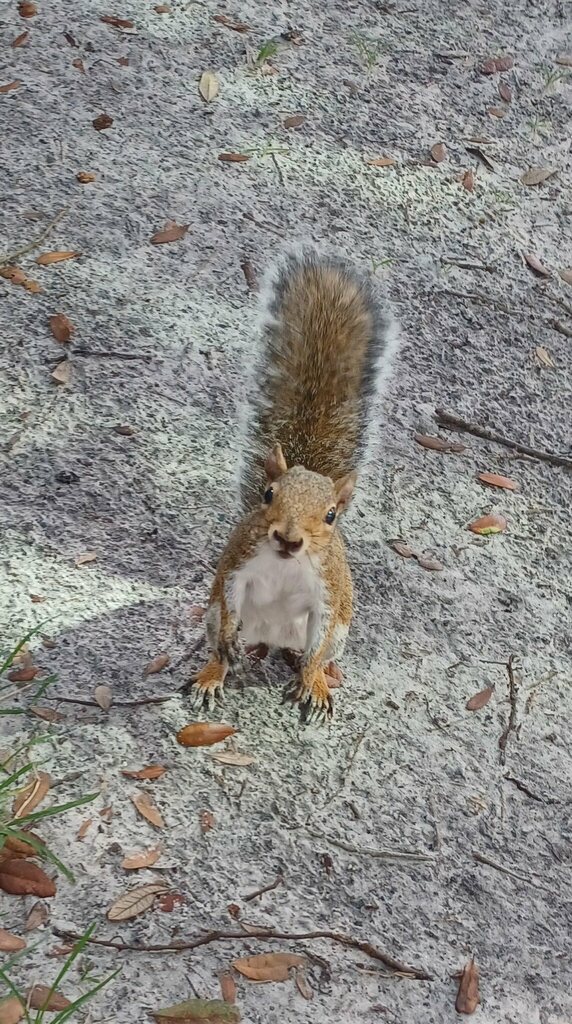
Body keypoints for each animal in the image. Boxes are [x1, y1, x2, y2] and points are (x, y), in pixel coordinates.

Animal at [188, 248, 399, 724]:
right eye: (268, 495)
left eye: (331, 515)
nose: (287, 538)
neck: (285, 564)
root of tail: (273, 640)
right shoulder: (238, 562)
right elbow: (230, 594)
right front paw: (225, 646)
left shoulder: (329, 592)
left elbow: (319, 631)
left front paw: (310, 678)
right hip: (212, 617)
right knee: (224, 646)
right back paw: (215, 670)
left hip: (339, 634)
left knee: (314, 654)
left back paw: (315, 680)